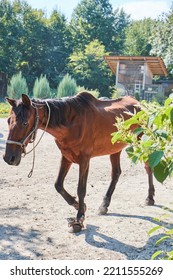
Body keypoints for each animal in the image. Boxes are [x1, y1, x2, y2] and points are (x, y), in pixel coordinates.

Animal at [3, 92, 155, 232]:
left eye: (25, 123)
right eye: (8, 121)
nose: (9, 158)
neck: (72, 122)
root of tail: (140, 104)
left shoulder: (84, 159)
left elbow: (81, 189)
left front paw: (79, 219)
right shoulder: (66, 157)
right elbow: (58, 185)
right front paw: (77, 205)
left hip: (142, 142)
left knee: (148, 166)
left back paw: (150, 197)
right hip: (115, 148)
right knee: (116, 173)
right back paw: (104, 204)